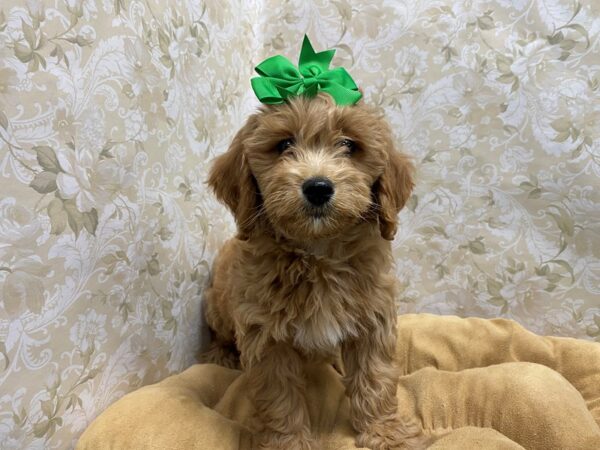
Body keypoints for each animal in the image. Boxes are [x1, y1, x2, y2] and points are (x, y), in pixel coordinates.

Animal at [200, 93, 418, 448]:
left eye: (348, 144)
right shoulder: (266, 337)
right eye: (284, 144)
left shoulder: (373, 319)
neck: (317, 254)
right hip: (216, 305)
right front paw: (288, 442)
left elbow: (375, 378)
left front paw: (385, 433)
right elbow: (279, 397)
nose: (317, 187)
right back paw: (220, 355)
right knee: (220, 333)